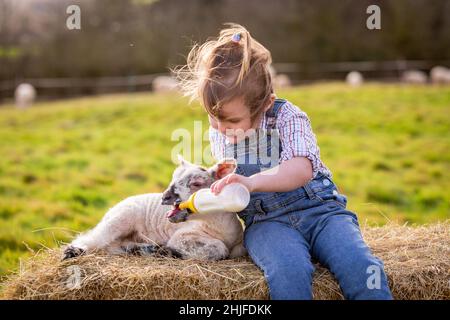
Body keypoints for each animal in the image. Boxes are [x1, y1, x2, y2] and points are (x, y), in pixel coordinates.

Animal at [62, 156, 246, 262]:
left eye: (197, 183)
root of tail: (111, 210)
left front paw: (163, 251)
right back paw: (73, 251)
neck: (219, 227)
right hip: (121, 218)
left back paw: (145, 249)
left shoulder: (239, 246)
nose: (165, 197)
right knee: (97, 238)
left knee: (115, 245)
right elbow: (219, 249)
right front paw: (170, 251)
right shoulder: (182, 236)